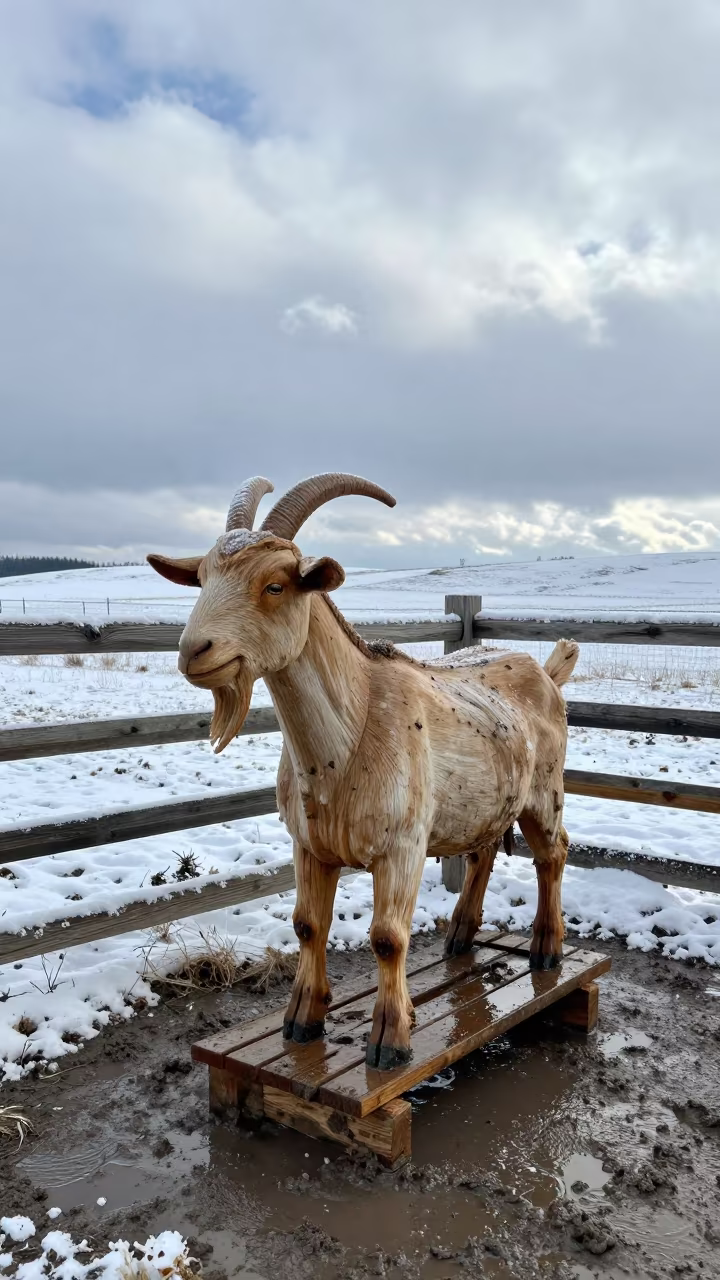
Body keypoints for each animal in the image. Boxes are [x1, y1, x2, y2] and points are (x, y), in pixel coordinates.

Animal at [149, 474, 579, 1070]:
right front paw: (301, 1020)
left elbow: (387, 937)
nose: (194, 650)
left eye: (275, 585)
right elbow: (308, 925)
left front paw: (390, 1040)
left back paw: (545, 950)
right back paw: (460, 937)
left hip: (545, 792)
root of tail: (548, 670)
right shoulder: (309, 844)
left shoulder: (402, 847)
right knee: (484, 851)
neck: (348, 736)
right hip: (486, 799)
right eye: (203, 578)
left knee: (552, 855)